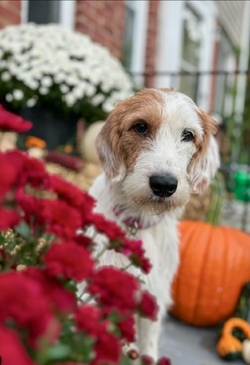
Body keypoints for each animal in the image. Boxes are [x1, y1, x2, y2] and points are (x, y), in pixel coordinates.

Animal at [89, 87, 220, 358]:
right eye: (140, 127)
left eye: (188, 135)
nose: (164, 184)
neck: (138, 221)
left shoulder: (154, 299)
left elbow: (147, 350)